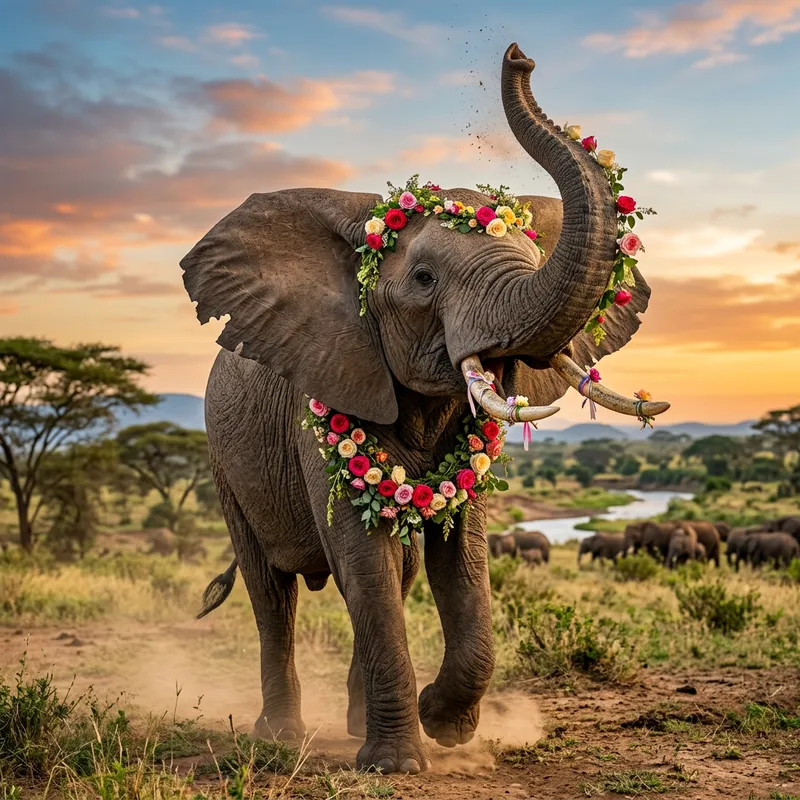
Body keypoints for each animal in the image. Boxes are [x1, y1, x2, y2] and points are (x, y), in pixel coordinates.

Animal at [180, 44, 668, 774]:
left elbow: (461, 557)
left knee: (392, 574)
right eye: (422, 279)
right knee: (274, 592)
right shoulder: (318, 400)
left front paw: (443, 723)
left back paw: (354, 726)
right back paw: (281, 736)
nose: (520, 56)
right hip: (224, 462)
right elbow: (362, 559)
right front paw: (397, 764)